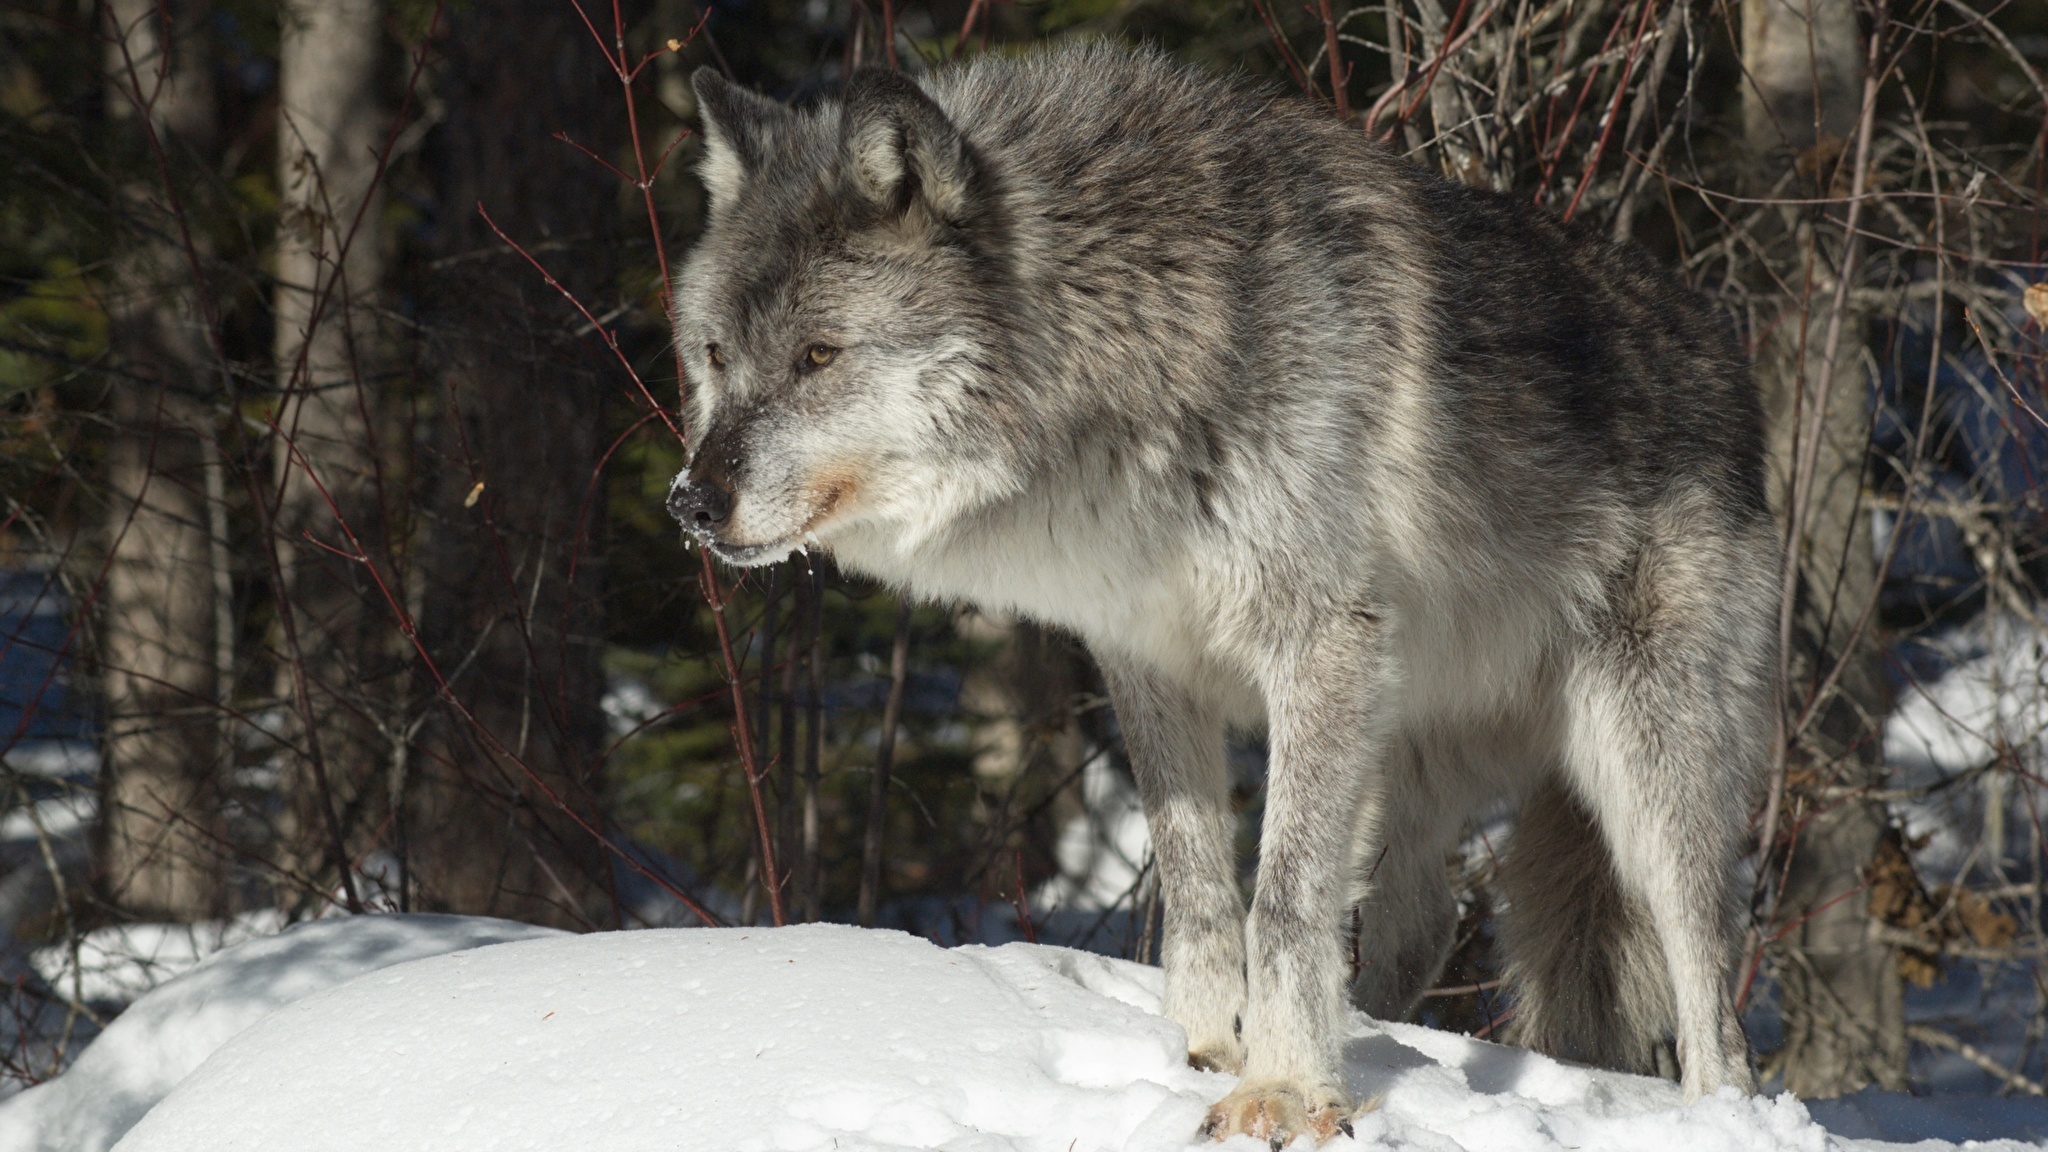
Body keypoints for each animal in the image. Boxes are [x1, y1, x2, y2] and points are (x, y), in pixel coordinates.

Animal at [663, 42, 1769, 1139]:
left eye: (818, 356)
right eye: (715, 355)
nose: (689, 501)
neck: (1131, 334)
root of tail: (1721, 341)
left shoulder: (1317, 647)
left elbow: (1278, 903)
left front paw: (1278, 1092)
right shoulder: (1147, 662)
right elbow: (1198, 891)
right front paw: (1203, 1056)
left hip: (1640, 762)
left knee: (1710, 977)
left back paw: (1713, 1112)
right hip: (1400, 758)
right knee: (1424, 921)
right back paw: (1375, 1048)